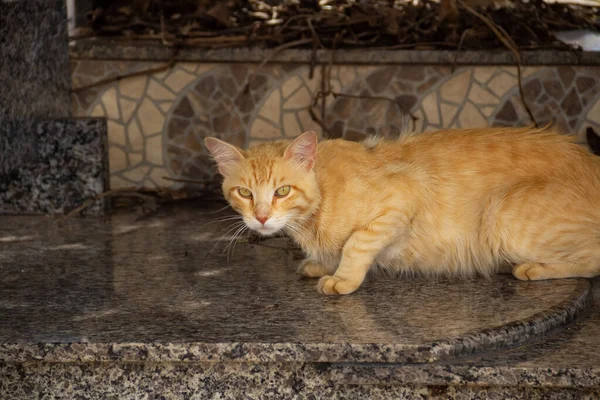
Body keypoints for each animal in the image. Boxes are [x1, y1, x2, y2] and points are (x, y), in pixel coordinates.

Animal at [205, 126, 600, 296]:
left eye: (282, 191)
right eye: (244, 192)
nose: (261, 217)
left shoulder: (404, 195)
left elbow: (356, 244)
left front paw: (342, 278)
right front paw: (322, 262)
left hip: (503, 218)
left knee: (593, 260)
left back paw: (533, 268)